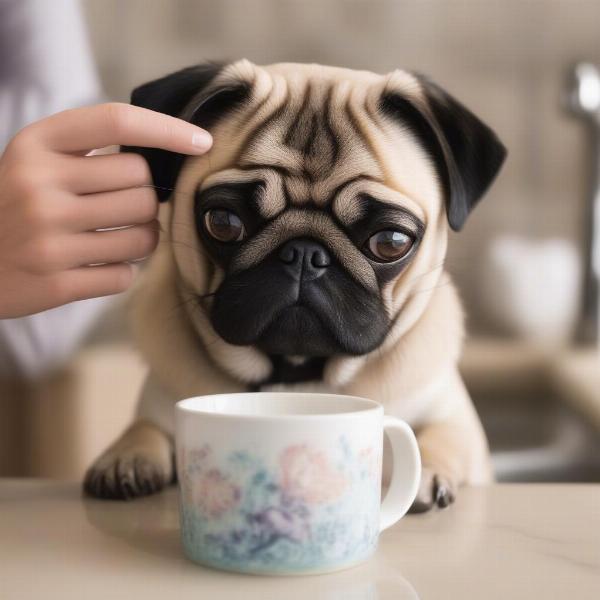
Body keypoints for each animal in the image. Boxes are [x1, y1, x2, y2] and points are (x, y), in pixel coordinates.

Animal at [84, 61, 504, 510]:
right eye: (223, 222)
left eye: (391, 242)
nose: (305, 254)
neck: (296, 372)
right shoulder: (160, 404)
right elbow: (145, 427)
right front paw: (125, 458)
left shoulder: (454, 419)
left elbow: (444, 436)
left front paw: (425, 471)